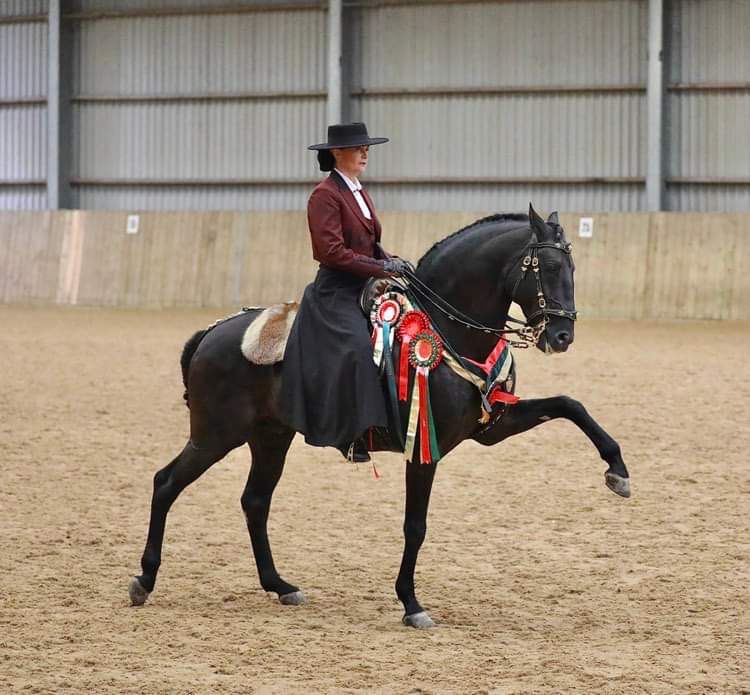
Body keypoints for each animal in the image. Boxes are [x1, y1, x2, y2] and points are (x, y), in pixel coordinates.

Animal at [131, 205, 636, 632]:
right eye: (548, 268)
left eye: (571, 269)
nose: (562, 335)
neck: (447, 331)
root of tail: (213, 332)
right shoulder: (424, 448)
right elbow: (415, 526)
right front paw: (411, 604)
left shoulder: (492, 426)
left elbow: (570, 405)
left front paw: (617, 471)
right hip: (216, 436)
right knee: (166, 483)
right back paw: (145, 580)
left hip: (270, 438)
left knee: (254, 501)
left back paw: (280, 585)